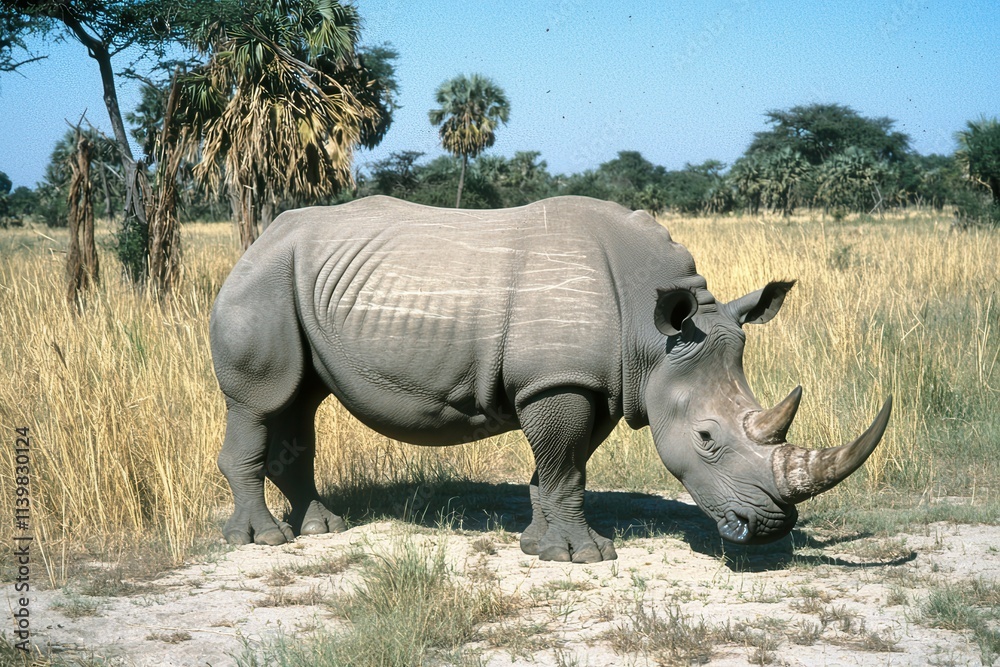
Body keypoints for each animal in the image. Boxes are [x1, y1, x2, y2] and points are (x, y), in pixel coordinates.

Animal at [210, 195, 891, 562]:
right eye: (706, 440)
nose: (771, 528)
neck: (655, 337)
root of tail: (260, 236)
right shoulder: (559, 381)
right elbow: (565, 461)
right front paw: (583, 557)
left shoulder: (595, 382)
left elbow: (562, 465)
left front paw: (538, 545)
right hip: (263, 279)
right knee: (259, 401)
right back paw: (264, 541)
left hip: (298, 281)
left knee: (300, 400)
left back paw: (322, 530)